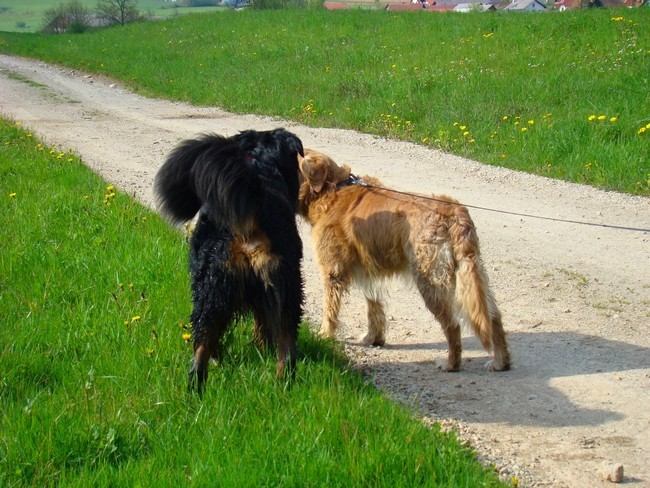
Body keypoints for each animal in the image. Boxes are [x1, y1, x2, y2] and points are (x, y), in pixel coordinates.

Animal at [154, 129, 304, 392]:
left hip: (210, 285)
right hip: (287, 286)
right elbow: (263, 326)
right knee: (286, 344)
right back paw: (284, 384)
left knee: (201, 346)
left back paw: (197, 388)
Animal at [296, 148, 508, 370]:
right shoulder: (368, 271)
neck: (332, 190)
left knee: (452, 324)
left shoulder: (333, 271)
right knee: (494, 318)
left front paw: (324, 336)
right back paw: (500, 362)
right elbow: (374, 306)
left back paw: (451, 364)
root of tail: (454, 213)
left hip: (431, 280)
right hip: (472, 275)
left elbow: (330, 309)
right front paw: (374, 338)